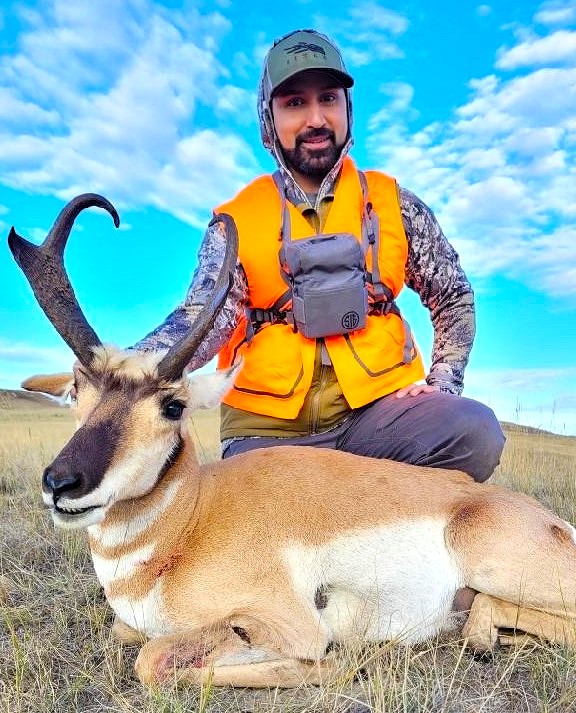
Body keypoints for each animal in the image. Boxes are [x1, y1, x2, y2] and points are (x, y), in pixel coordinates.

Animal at [8, 195, 576, 689]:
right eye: (79, 389)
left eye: (173, 407)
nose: (62, 483)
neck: (189, 520)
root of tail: (547, 520)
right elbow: (126, 634)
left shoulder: (286, 622)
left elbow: (153, 658)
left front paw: (334, 663)